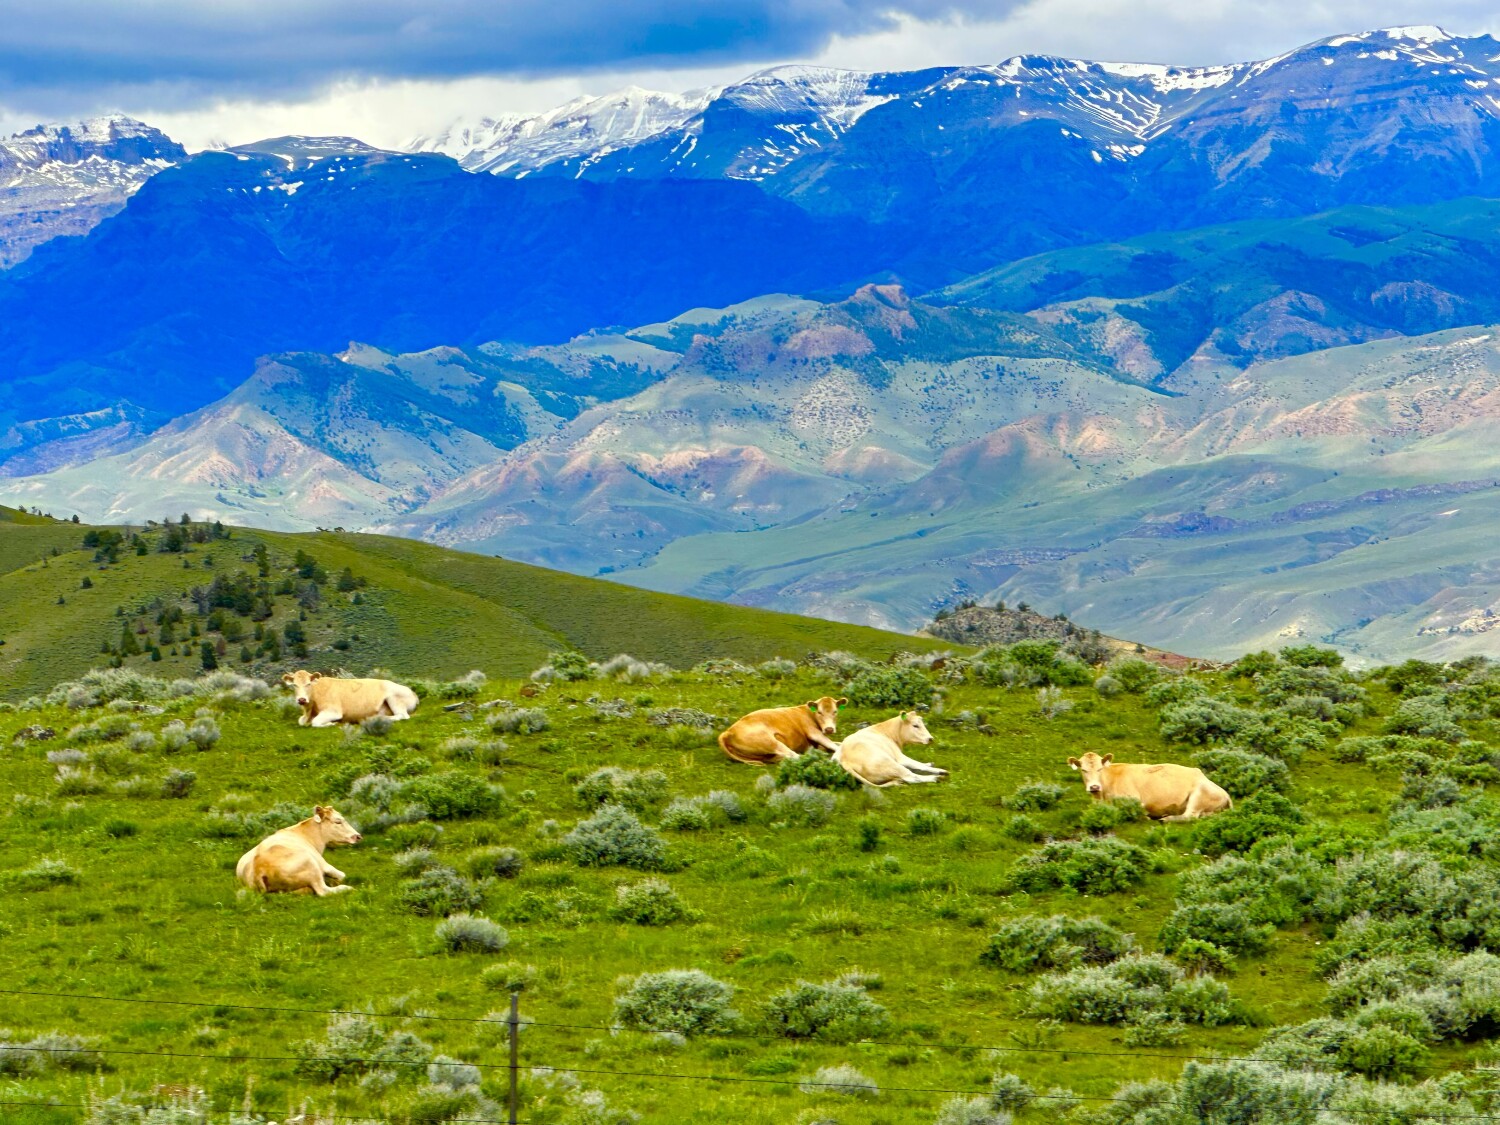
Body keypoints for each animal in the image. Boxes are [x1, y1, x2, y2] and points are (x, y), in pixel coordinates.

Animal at [281, 670, 419, 727]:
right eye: (294, 685)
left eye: (308, 684)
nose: (302, 699)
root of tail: (413, 692)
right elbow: (300, 721)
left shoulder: (334, 712)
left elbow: (315, 722)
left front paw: (332, 723)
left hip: (394, 698)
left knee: (402, 716)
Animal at [717, 696, 848, 765]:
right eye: (819, 712)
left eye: (835, 711)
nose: (829, 729)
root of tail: (727, 732)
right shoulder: (813, 732)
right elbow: (833, 744)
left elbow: (839, 743)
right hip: (770, 742)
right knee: (794, 756)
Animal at [1066, 751, 1232, 821]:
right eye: (1083, 770)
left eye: (1100, 769)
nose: (1094, 787)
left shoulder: (1134, 800)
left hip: (1199, 794)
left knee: (1190, 815)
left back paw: (1166, 818)